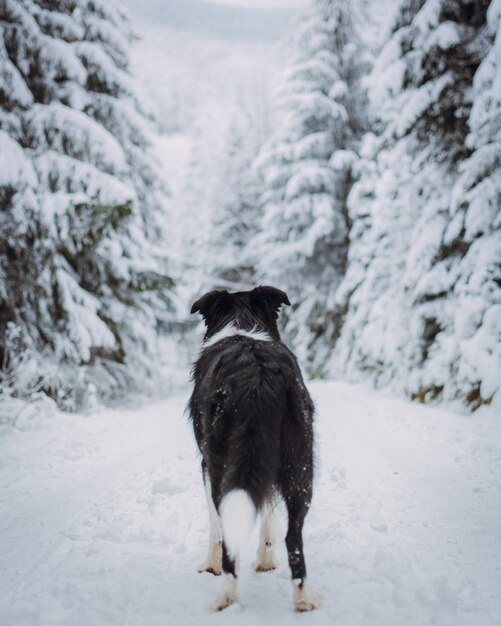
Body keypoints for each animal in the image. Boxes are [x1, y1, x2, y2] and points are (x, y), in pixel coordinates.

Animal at [188, 286, 320, 608]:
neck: (241, 323)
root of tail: (258, 377)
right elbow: (268, 514)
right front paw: (266, 562)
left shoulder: (206, 465)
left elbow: (217, 528)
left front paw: (209, 566)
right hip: (300, 465)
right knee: (293, 538)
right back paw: (304, 600)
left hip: (223, 462)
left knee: (229, 536)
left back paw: (225, 597)